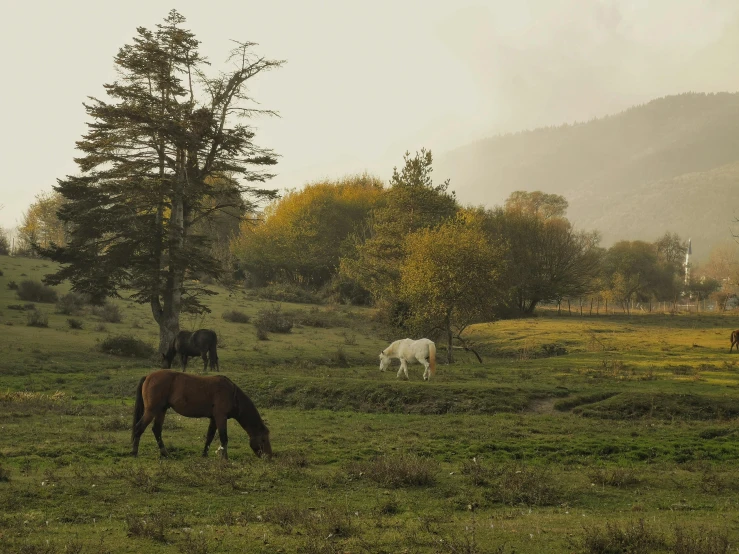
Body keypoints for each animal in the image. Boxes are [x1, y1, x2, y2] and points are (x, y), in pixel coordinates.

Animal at [131, 370, 272, 458]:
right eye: (263, 439)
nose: (269, 456)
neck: (232, 394)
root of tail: (148, 376)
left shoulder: (214, 419)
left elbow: (210, 436)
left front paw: (204, 455)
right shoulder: (221, 417)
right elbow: (224, 437)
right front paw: (225, 458)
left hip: (161, 410)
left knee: (156, 430)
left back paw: (164, 453)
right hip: (152, 410)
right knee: (139, 428)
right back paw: (134, 452)